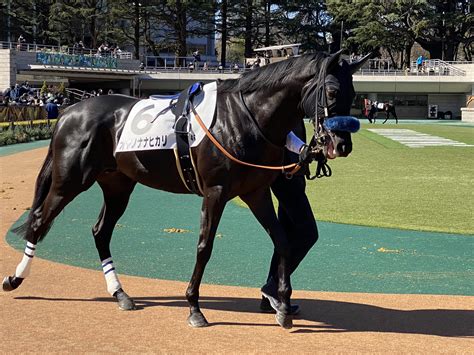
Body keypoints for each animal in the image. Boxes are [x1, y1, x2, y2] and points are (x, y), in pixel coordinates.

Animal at [2, 51, 370, 330]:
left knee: (100, 231)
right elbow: (204, 247)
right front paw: (194, 306)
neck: (244, 118)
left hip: (117, 184)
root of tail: (68, 111)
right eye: (332, 92)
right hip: (70, 181)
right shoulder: (215, 192)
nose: (342, 145)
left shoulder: (255, 192)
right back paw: (16, 279)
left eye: (354, 95)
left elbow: (282, 240)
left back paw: (120, 294)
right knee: (40, 220)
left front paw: (280, 302)